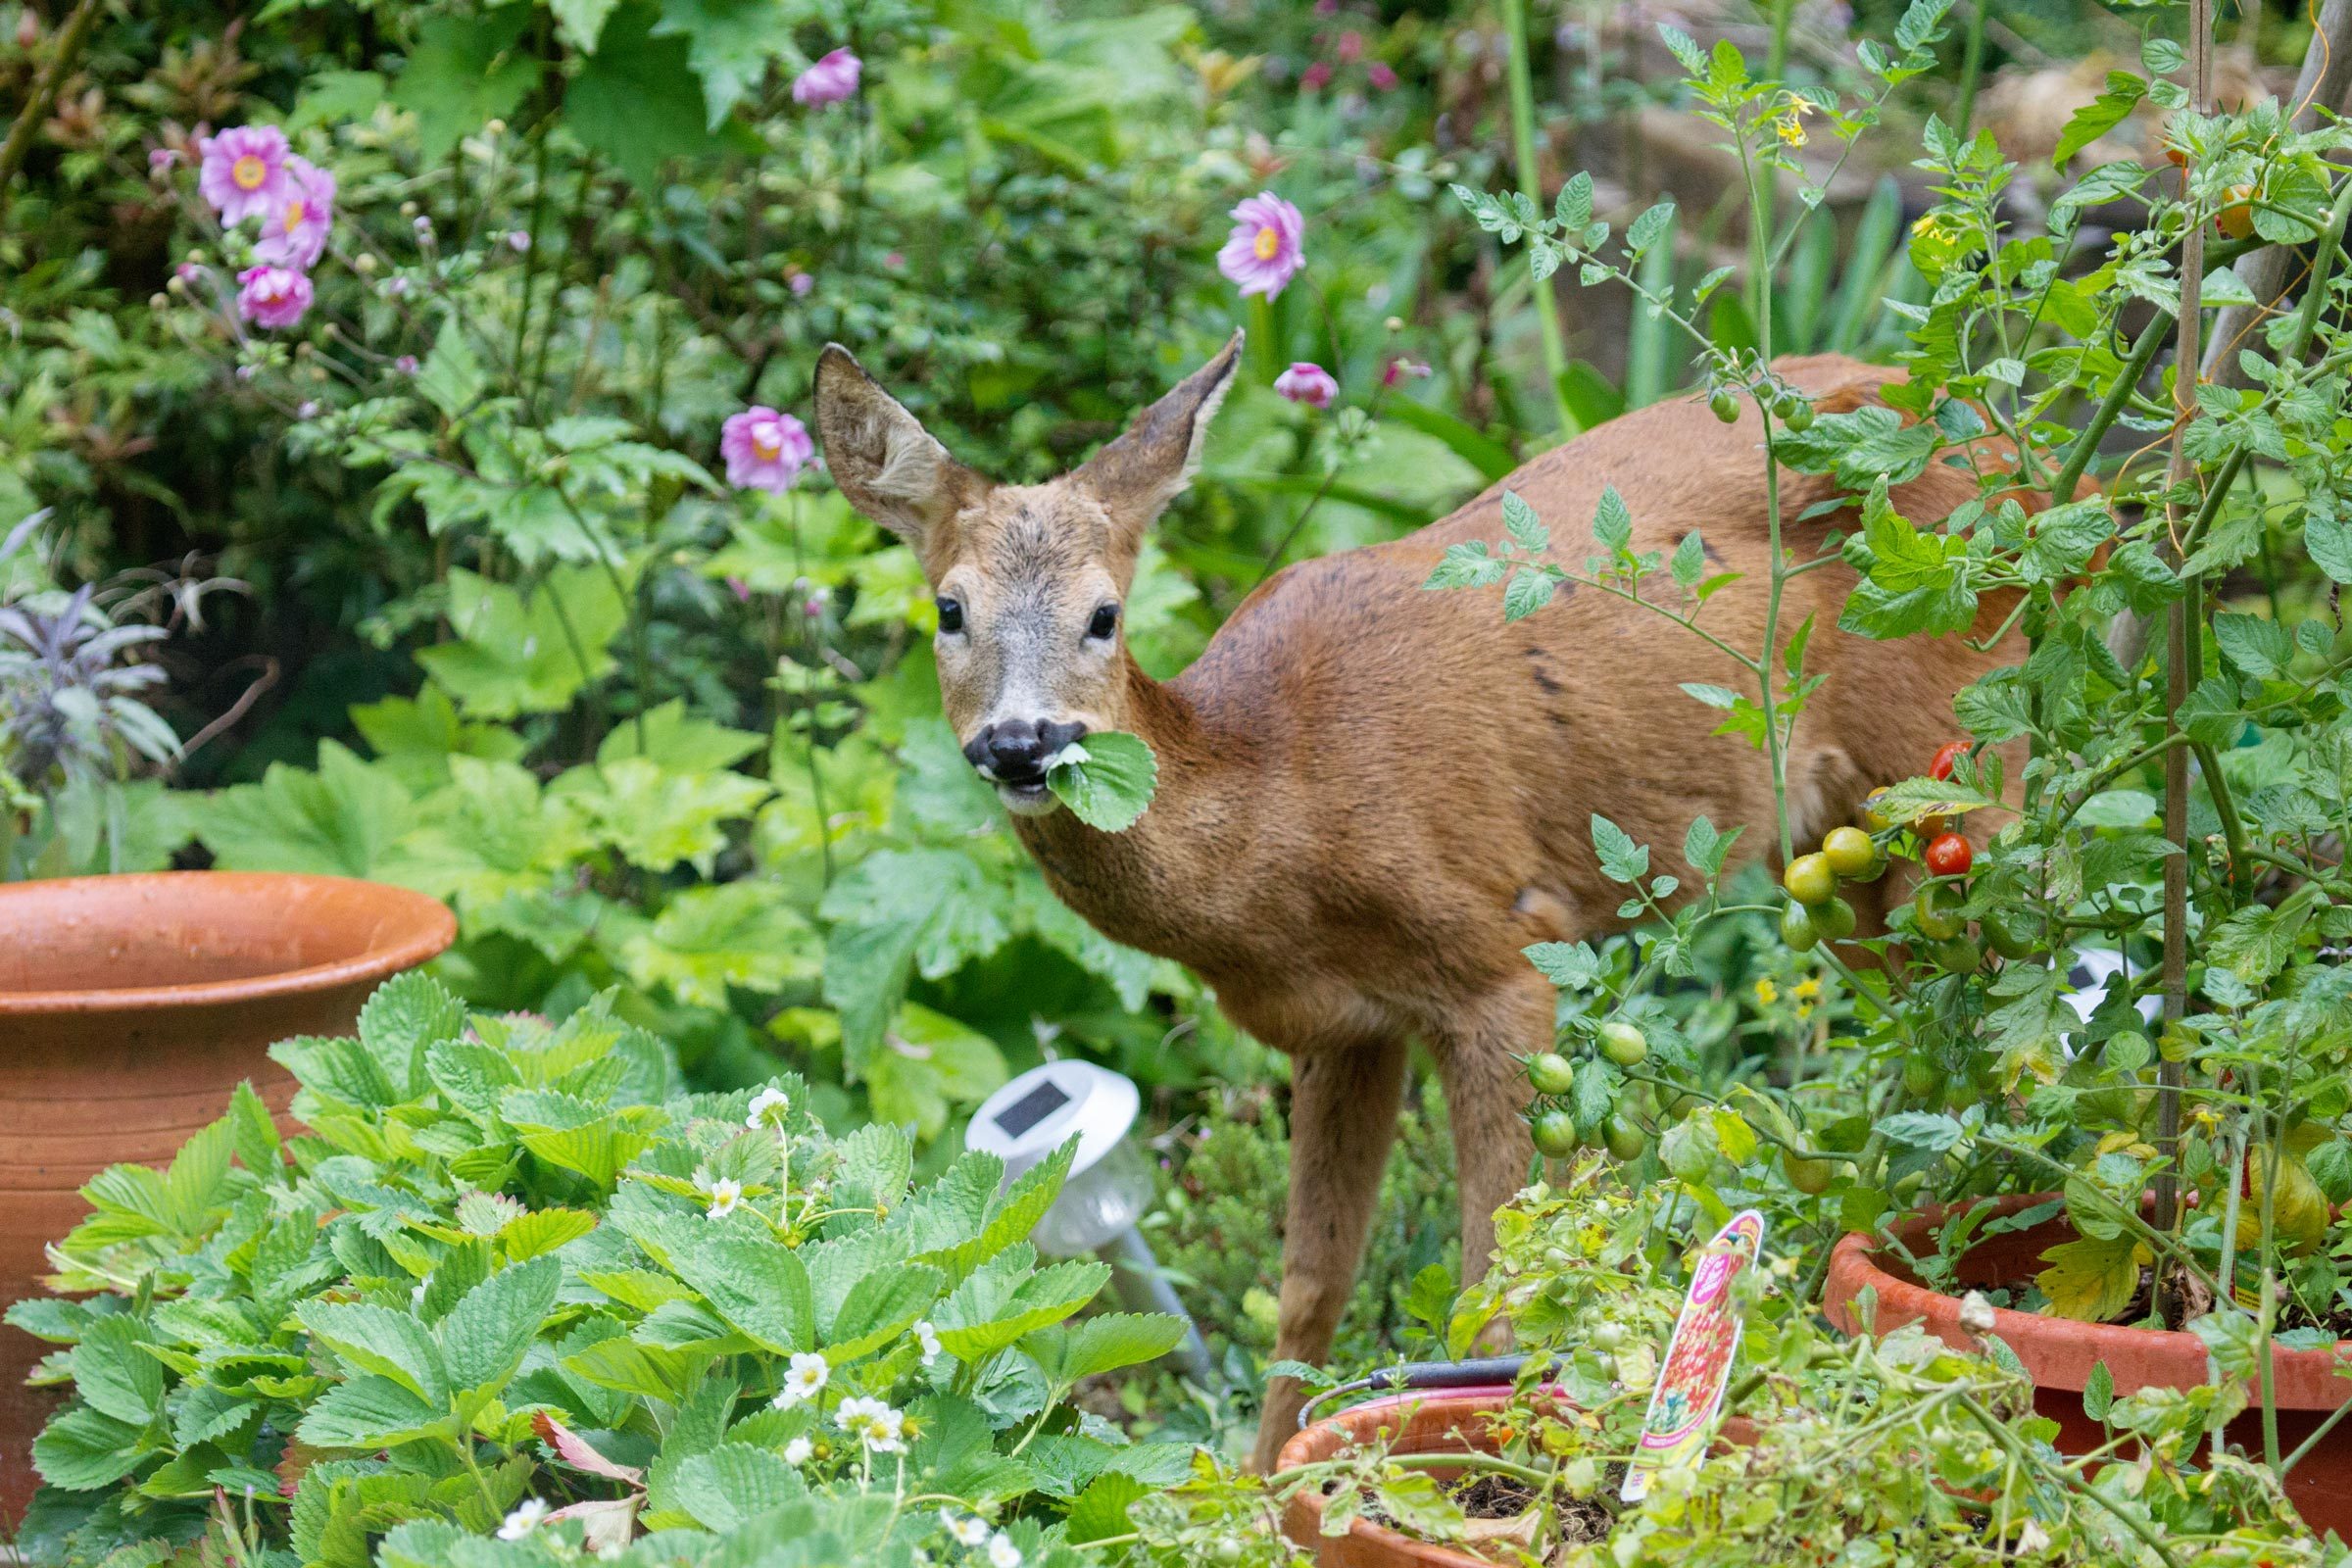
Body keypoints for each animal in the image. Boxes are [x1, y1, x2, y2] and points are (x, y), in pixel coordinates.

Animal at [818, 333, 2032, 1476]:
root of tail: (2001, 432)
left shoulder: (1505, 954)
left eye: (1105, 614)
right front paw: (1263, 1492)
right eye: (949, 608)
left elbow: (1497, 1275)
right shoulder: (1341, 1026)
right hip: (1839, 853)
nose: (1022, 742)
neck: (1283, 805)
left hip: (1960, 756)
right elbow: (1310, 1278)